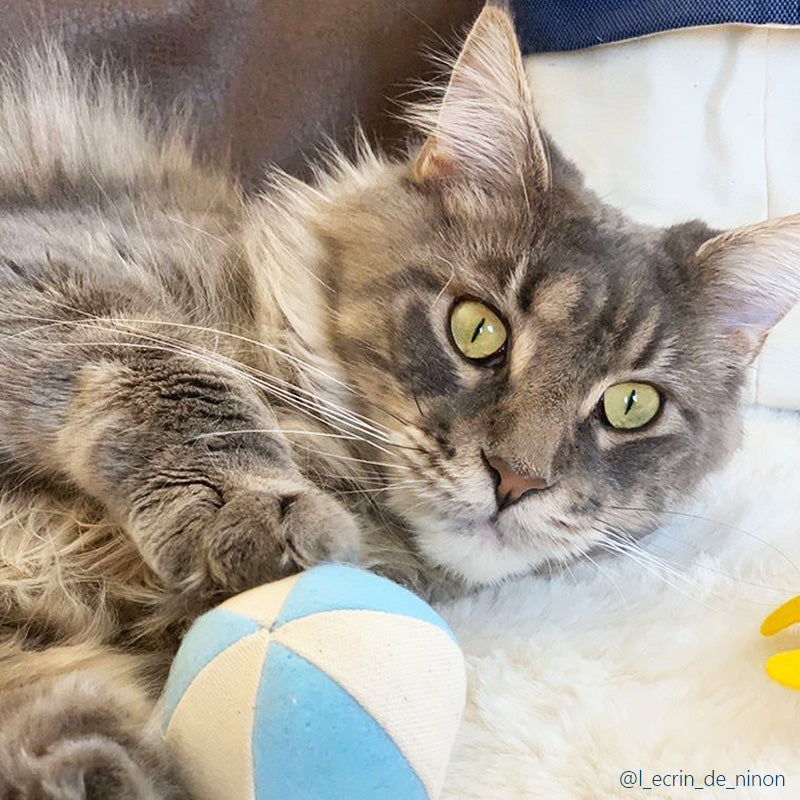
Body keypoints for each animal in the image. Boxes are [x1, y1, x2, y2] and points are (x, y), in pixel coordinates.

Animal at [1, 3, 800, 796]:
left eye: (631, 407)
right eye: (477, 329)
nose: (517, 480)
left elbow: (67, 726)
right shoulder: (54, 275)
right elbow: (176, 372)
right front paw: (252, 510)